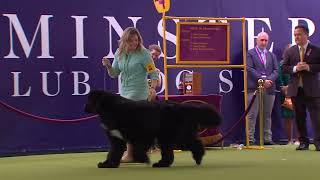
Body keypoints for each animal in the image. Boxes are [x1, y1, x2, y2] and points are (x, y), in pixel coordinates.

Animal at [85, 90, 222, 168]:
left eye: (90, 100)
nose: (85, 108)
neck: (111, 108)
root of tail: (183, 107)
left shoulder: (142, 135)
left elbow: (137, 151)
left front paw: (144, 159)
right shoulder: (116, 138)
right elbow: (113, 152)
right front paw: (108, 164)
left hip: (174, 136)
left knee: (193, 144)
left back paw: (196, 159)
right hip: (170, 137)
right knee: (183, 147)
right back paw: (164, 164)